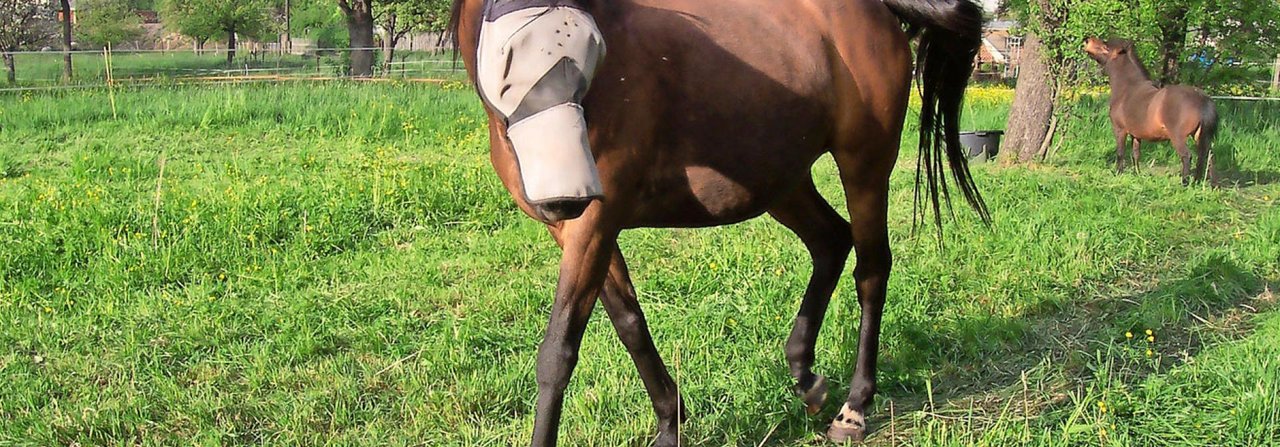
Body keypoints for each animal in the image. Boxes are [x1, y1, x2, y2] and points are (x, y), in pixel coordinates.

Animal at [450, 0, 988, 443]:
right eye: (510, 57)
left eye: (591, 49)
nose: (564, 192)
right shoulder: (575, 229)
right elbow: (629, 324)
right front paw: (670, 424)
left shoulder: (593, 222)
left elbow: (558, 352)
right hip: (780, 180)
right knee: (831, 241)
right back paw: (805, 377)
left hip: (865, 166)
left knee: (871, 268)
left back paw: (853, 408)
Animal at [1090, 37, 1218, 184]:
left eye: (1106, 46)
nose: (1087, 40)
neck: (1128, 88)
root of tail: (1202, 99)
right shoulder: (1136, 134)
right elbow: (1135, 154)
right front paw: (1137, 174)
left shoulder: (1120, 129)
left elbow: (1120, 152)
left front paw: (1118, 173)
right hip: (1201, 136)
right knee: (1208, 157)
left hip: (1178, 137)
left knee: (1187, 156)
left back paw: (1185, 182)